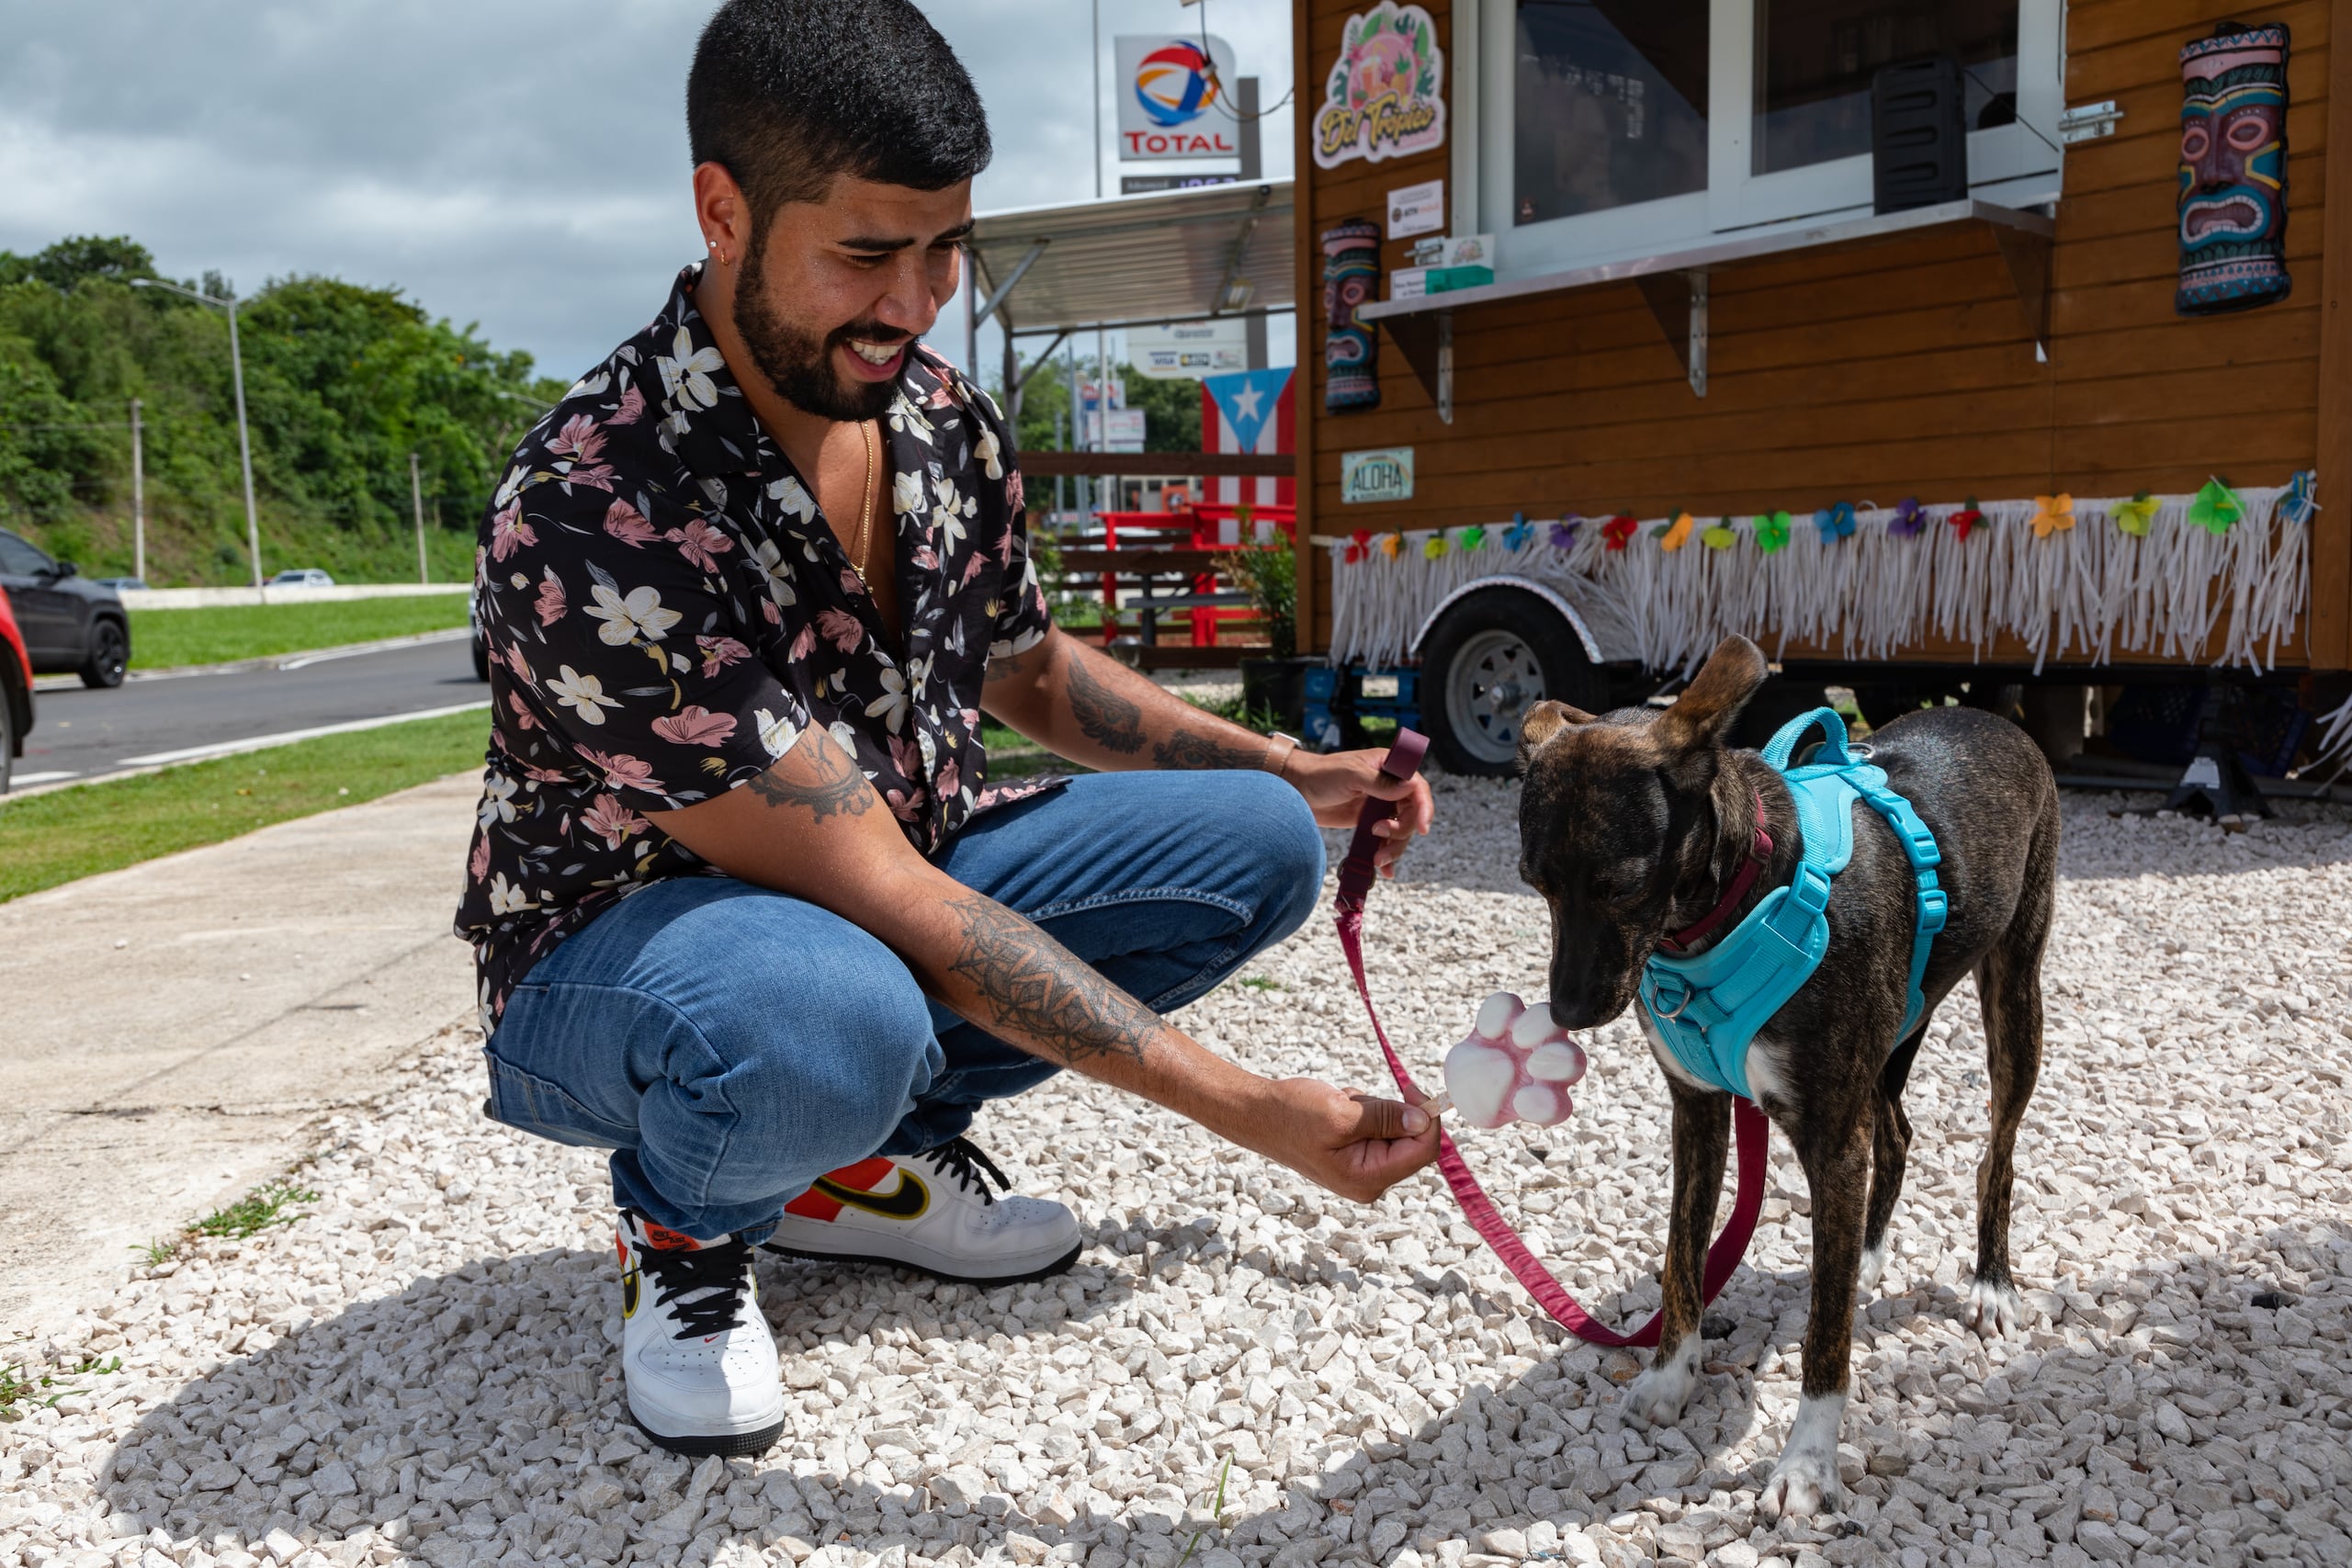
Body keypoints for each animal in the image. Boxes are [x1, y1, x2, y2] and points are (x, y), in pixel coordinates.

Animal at [1514, 639, 2051, 1523]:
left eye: (1622, 885)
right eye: (1535, 883)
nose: (1569, 1010)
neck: (1719, 917)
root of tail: (1990, 716)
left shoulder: (1830, 1135)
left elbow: (1825, 1338)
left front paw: (1806, 1463)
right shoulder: (1698, 1110)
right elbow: (1683, 1256)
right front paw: (1671, 1376)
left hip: (2014, 990)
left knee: (1996, 1156)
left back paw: (1992, 1282)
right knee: (1895, 1136)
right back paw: (1862, 1255)